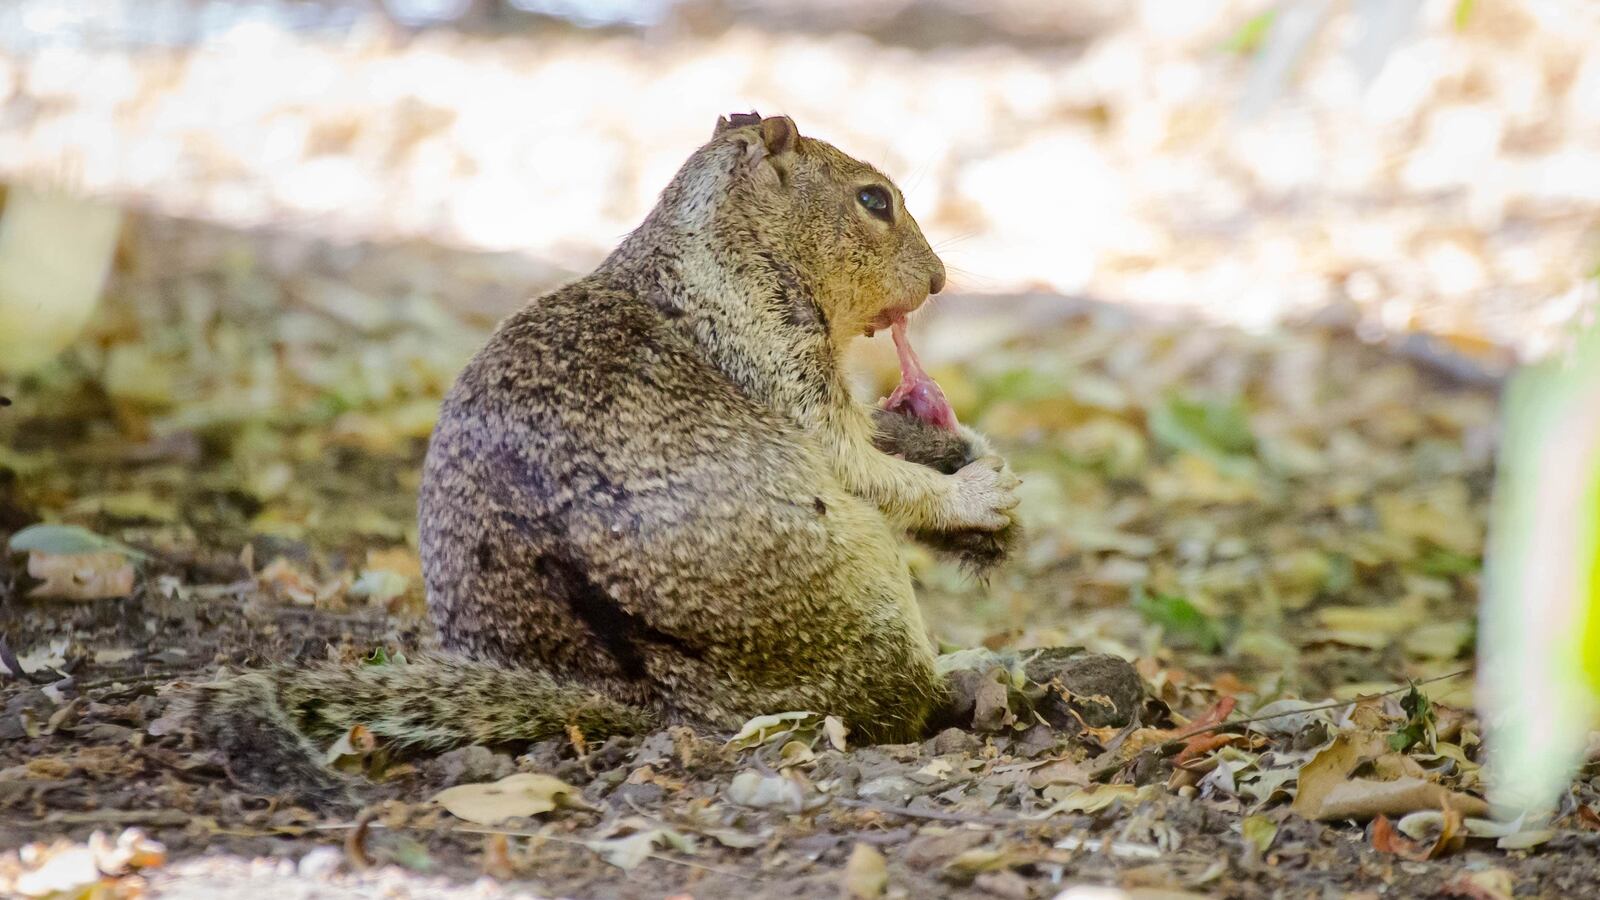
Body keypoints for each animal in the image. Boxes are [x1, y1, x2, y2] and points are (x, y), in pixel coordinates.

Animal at [190, 113, 1022, 806]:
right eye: (874, 200)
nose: (940, 278)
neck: (728, 252)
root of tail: (638, 699)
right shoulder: (777, 364)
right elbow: (860, 466)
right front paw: (976, 494)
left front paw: (956, 449)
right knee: (888, 705)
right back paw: (969, 686)